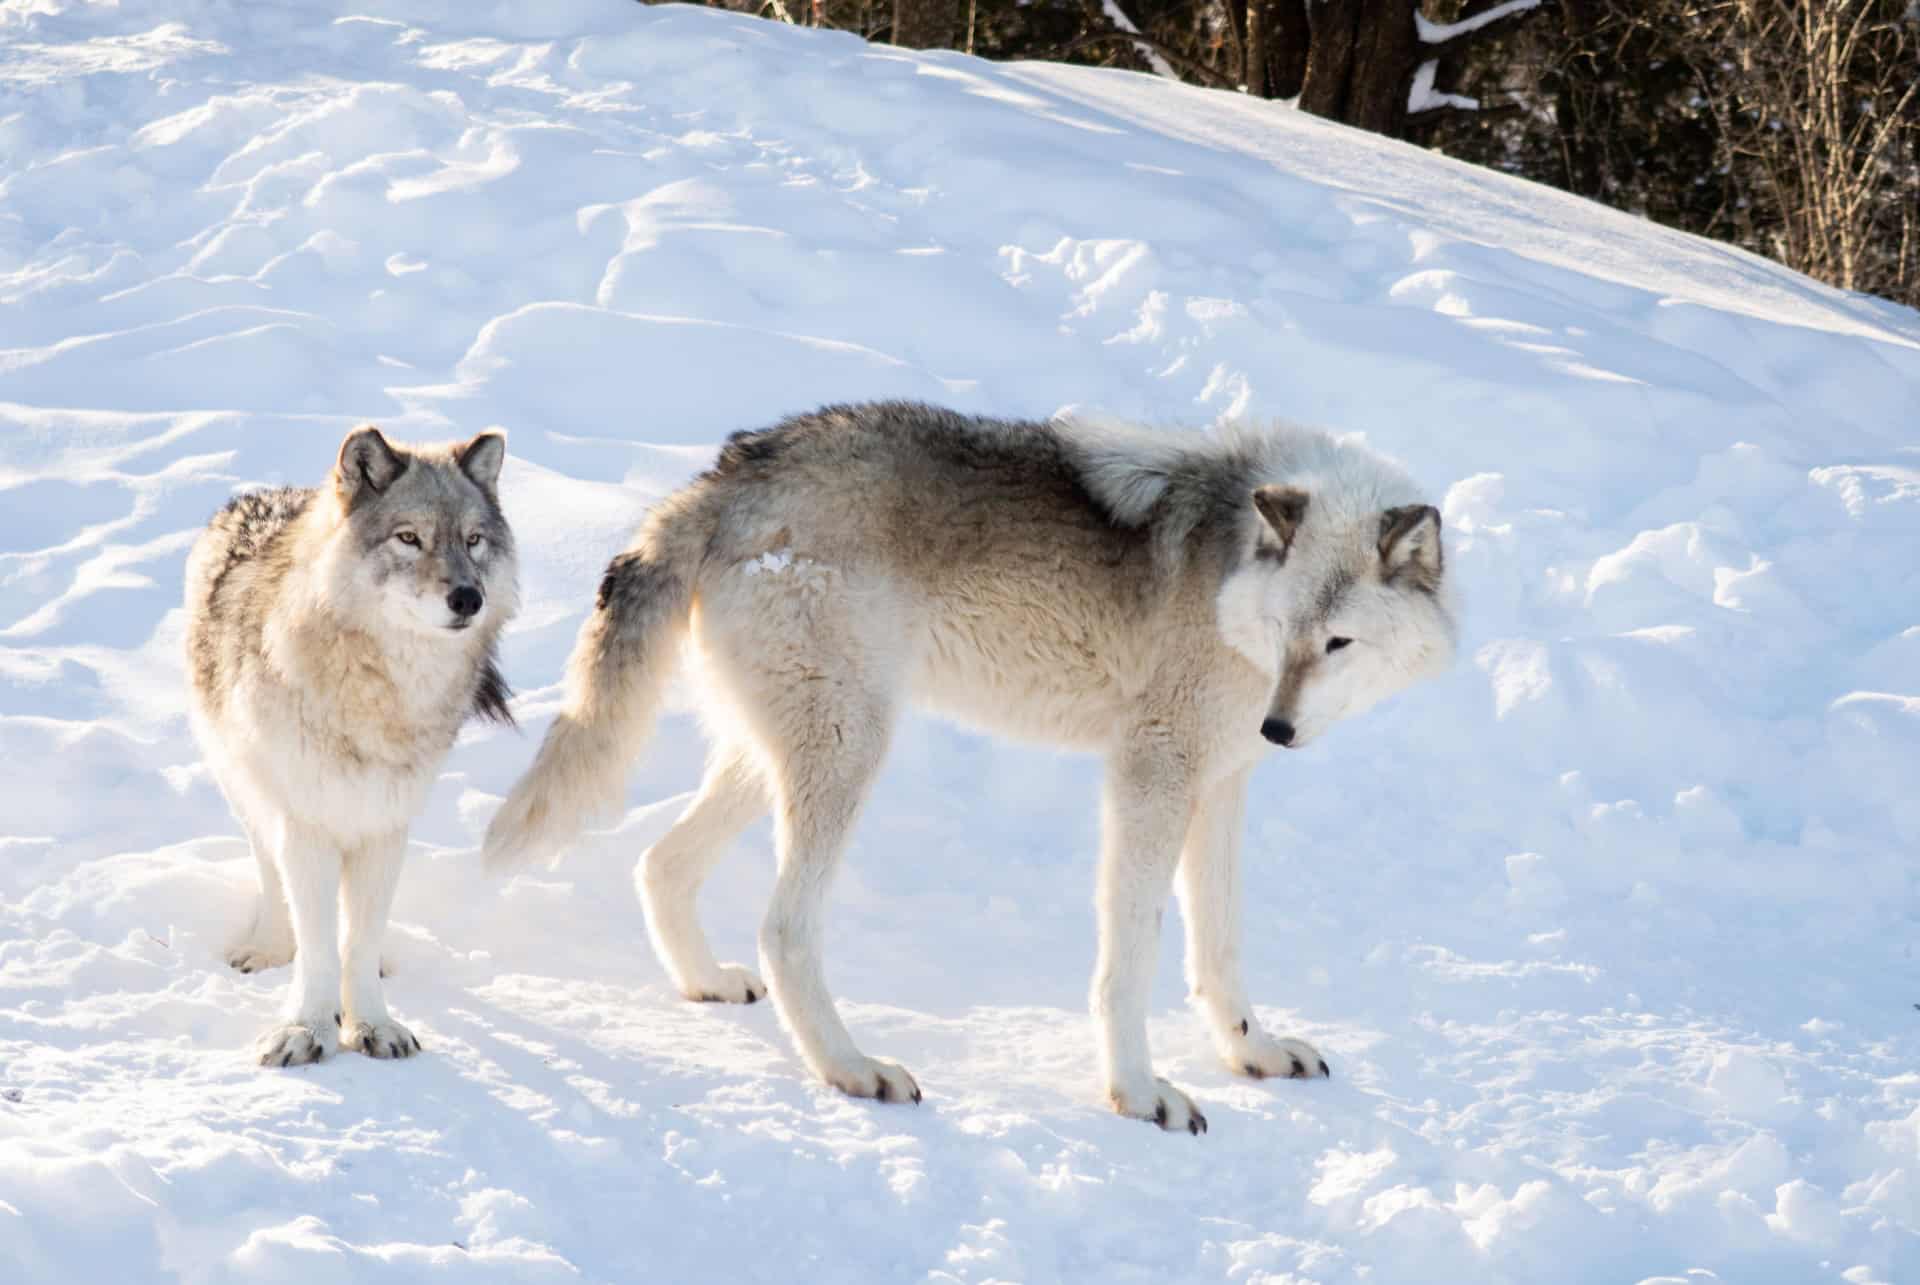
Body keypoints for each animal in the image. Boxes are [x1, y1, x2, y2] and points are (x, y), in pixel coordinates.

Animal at [186, 426, 518, 1067]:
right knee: (270, 873)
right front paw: (306, 1028)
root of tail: (267, 493)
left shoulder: (384, 824)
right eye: (409, 538)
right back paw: (267, 947)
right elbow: (315, 943)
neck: (378, 691)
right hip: (246, 786)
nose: (469, 599)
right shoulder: (307, 823)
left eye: (473, 541)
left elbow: (359, 941)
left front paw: (371, 1024)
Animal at [483, 401, 1451, 1129]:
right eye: (1288, 632)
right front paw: (1138, 1094)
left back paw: (709, 984)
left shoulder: (1221, 783)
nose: (1277, 727)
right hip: (851, 748)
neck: (1228, 576)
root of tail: (724, 477)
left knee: (659, 862)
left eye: (1335, 642)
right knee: (784, 926)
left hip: (784, 751)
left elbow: (1220, 943)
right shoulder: (1152, 773)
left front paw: (1253, 1050)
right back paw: (851, 1068)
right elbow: (1131, 956)